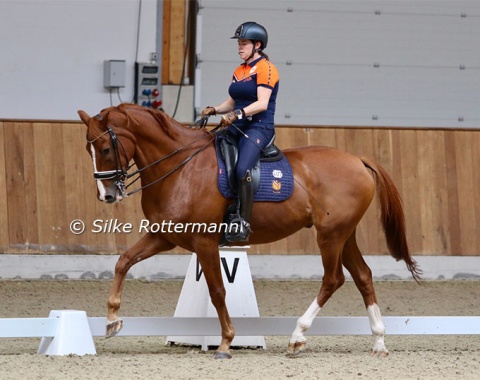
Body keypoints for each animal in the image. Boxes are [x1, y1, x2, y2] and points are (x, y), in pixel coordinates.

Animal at [78, 104, 420, 360]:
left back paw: (297, 336)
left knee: (333, 279)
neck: (181, 167)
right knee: (363, 276)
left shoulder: (204, 242)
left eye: (106, 148)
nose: (107, 195)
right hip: (344, 234)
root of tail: (357, 160)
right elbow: (123, 261)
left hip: (330, 236)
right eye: (88, 149)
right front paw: (112, 320)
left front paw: (226, 342)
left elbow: (217, 290)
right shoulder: (164, 235)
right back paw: (378, 342)